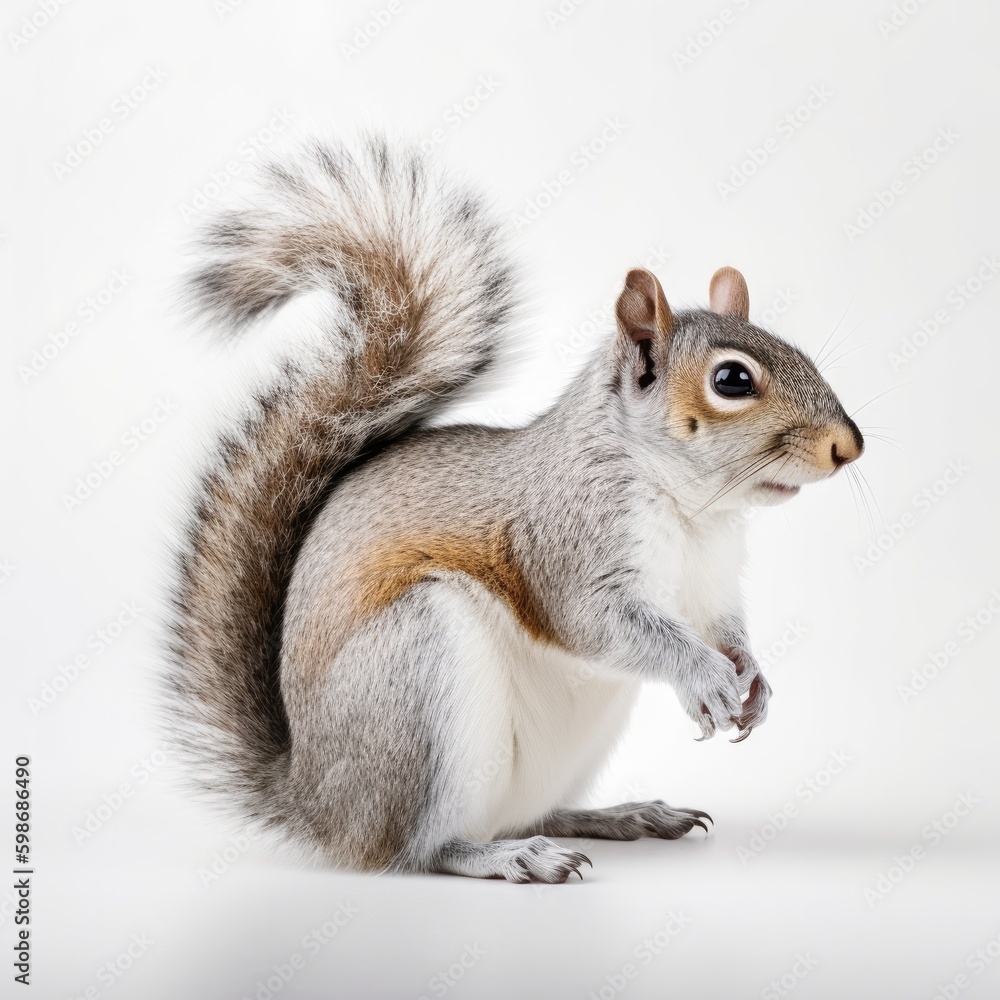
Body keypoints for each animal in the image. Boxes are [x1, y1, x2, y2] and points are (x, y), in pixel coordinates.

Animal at [164, 134, 864, 884]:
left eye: (797, 350)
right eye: (732, 379)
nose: (848, 446)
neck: (691, 510)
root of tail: (316, 803)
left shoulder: (712, 583)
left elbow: (724, 629)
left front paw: (753, 679)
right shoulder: (567, 543)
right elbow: (599, 623)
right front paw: (705, 676)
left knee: (536, 811)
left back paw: (618, 816)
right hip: (418, 675)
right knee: (418, 850)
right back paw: (505, 856)